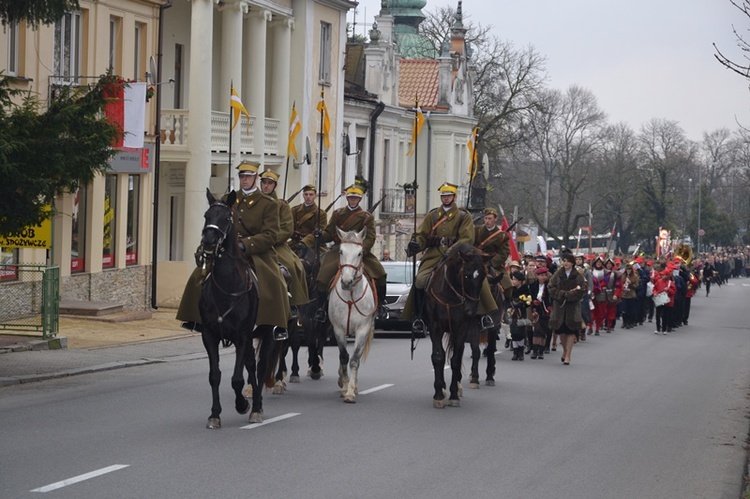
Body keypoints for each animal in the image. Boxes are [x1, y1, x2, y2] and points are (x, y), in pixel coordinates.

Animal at [197, 188, 274, 430]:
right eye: (206, 215)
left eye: (226, 218)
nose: (209, 242)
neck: (227, 286)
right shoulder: (209, 335)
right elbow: (215, 375)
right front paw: (214, 414)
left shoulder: (241, 335)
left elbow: (237, 379)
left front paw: (242, 405)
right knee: (251, 365)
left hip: (266, 333)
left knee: (260, 366)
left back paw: (257, 407)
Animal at [328, 229, 376, 404]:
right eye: (341, 251)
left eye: (359, 253)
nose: (347, 282)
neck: (350, 296)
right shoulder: (338, 329)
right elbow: (343, 356)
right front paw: (344, 386)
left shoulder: (363, 329)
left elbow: (354, 359)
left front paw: (350, 391)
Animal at [424, 244, 494, 408]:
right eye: (467, 275)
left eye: (483, 276)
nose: (471, 310)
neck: (450, 295)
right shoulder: (435, 327)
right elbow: (438, 356)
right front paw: (439, 395)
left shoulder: (461, 328)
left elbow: (455, 359)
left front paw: (454, 394)